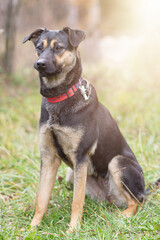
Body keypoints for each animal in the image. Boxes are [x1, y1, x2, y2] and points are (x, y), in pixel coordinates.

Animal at [23, 27, 145, 232]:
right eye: (39, 47)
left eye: (58, 48)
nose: (39, 64)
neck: (60, 97)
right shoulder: (48, 157)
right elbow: (42, 197)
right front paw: (33, 226)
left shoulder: (81, 156)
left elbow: (76, 201)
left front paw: (73, 229)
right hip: (72, 175)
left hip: (117, 163)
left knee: (137, 202)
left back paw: (123, 216)